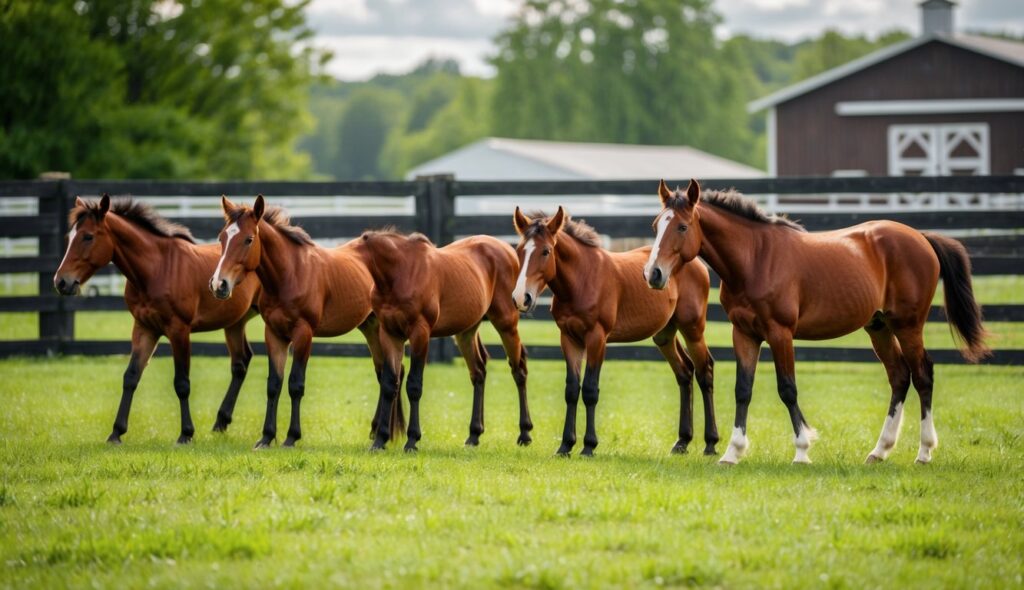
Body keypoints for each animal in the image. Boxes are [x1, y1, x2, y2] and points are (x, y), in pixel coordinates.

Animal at [52, 195, 262, 444]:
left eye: (88, 236)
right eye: (70, 237)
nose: (61, 282)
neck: (157, 269)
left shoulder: (178, 331)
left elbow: (182, 383)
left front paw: (186, 433)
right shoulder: (144, 329)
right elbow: (131, 376)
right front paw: (116, 432)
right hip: (235, 322)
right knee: (241, 363)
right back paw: (221, 421)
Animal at [211, 195, 399, 448]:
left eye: (248, 239)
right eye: (222, 237)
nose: (219, 284)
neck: (290, 274)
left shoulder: (303, 334)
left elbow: (295, 384)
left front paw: (292, 436)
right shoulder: (274, 335)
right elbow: (274, 384)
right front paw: (266, 437)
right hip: (370, 328)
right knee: (383, 374)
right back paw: (376, 429)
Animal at [354, 228, 532, 448]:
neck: (399, 273)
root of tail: (508, 250)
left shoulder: (420, 333)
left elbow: (414, 385)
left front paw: (412, 439)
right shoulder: (390, 334)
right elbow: (389, 383)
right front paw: (380, 440)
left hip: (506, 323)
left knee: (519, 370)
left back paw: (524, 433)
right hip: (466, 332)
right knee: (478, 372)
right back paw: (474, 434)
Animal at [512, 206, 720, 456]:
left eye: (546, 251)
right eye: (519, 251)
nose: (521, 298)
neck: (582, 280)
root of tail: (696, 263)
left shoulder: (597, 338)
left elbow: (590, 389)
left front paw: (589, 446)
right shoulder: (569, 339)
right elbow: (571, 390)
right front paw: (565, 445)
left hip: (692, 328)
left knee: (705, 371)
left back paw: (710, 443)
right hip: (665, 334)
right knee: (685, 371)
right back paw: (682, 441)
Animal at [643, 177, 987, 462]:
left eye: (682, 227)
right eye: (656, 225)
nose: (653, 274)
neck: (755, 259)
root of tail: (921, 237)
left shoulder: (780, 333)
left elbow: (787, 389)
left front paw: (802, 449)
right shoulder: (744, 334)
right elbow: (743, 389)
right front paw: (732, 452)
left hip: (908, 325)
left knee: (923, 375)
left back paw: (925, 452)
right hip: (879, 327)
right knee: (900, 376)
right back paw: (880, 451)